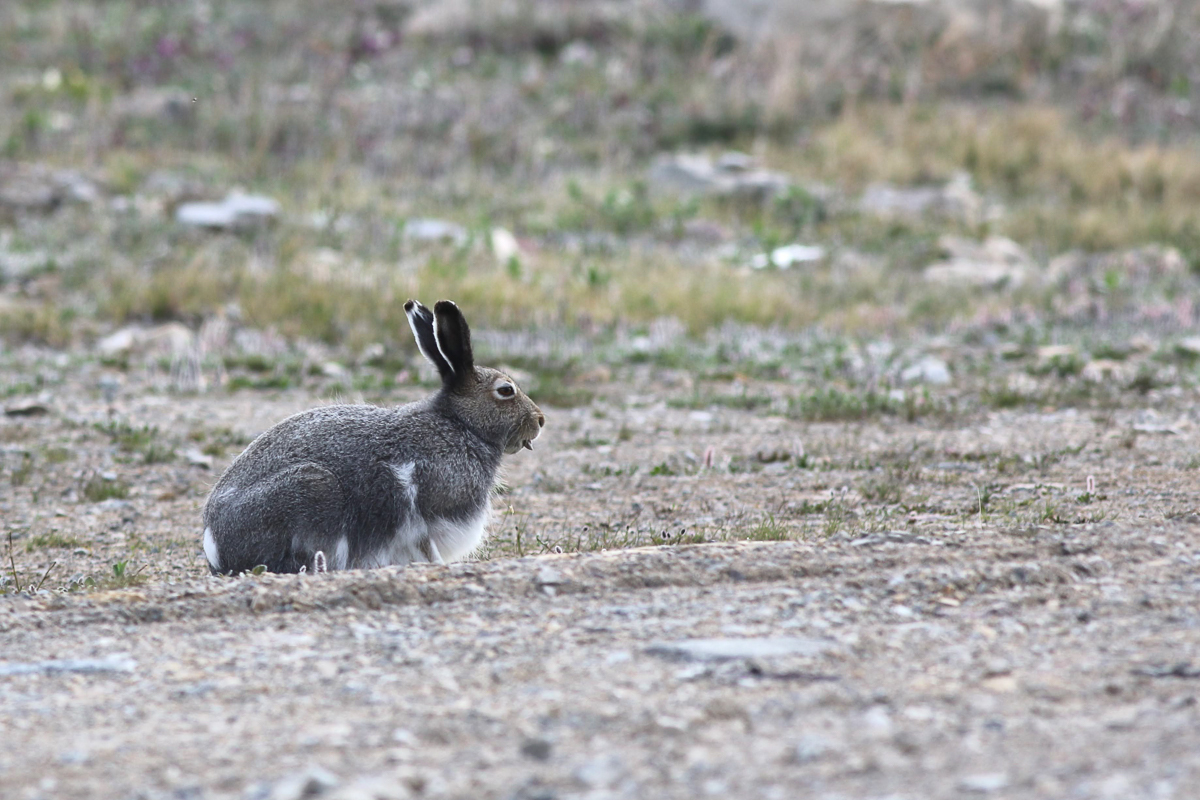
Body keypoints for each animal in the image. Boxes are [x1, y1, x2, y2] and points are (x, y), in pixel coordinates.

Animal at [201, 299, 544, 575]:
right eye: (506, 390)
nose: (540, 420)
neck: (460, 424)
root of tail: (215, 544)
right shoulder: (422, 511)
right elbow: (425, 545)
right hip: (312, 488)